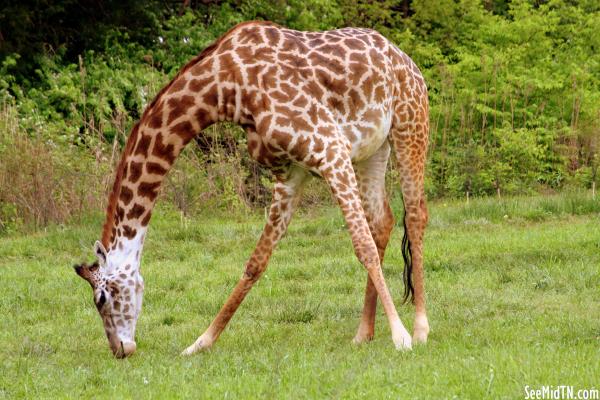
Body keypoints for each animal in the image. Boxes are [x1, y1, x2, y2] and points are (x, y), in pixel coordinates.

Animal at [75, 20, 428, 358]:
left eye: (102, 298)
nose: (120, 349)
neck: (227, 88)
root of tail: (405, 59)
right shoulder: (290, 174)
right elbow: (256, 262)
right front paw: (201, 342)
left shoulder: (329, 149)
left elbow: (362, 246)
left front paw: (401, 336)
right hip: (374, 149)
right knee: (383, 221)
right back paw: (363, 333)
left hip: (409, 125)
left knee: (415, 215)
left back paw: (421, 328)